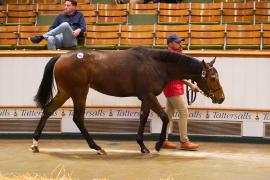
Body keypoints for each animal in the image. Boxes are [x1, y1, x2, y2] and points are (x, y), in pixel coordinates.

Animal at [31, 46, 225, 155]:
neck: (155, 64)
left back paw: (35, 144)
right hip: (79, 91)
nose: (221, 98)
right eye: (213, 78)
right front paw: (157, 145)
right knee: (78, 118)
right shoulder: (148, 95)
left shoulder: (145, 97)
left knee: (48, 110)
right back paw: (97, 147)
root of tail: (61, 56)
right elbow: (164, 117)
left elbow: (143, 118)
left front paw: (143, 146)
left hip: (65, 92)